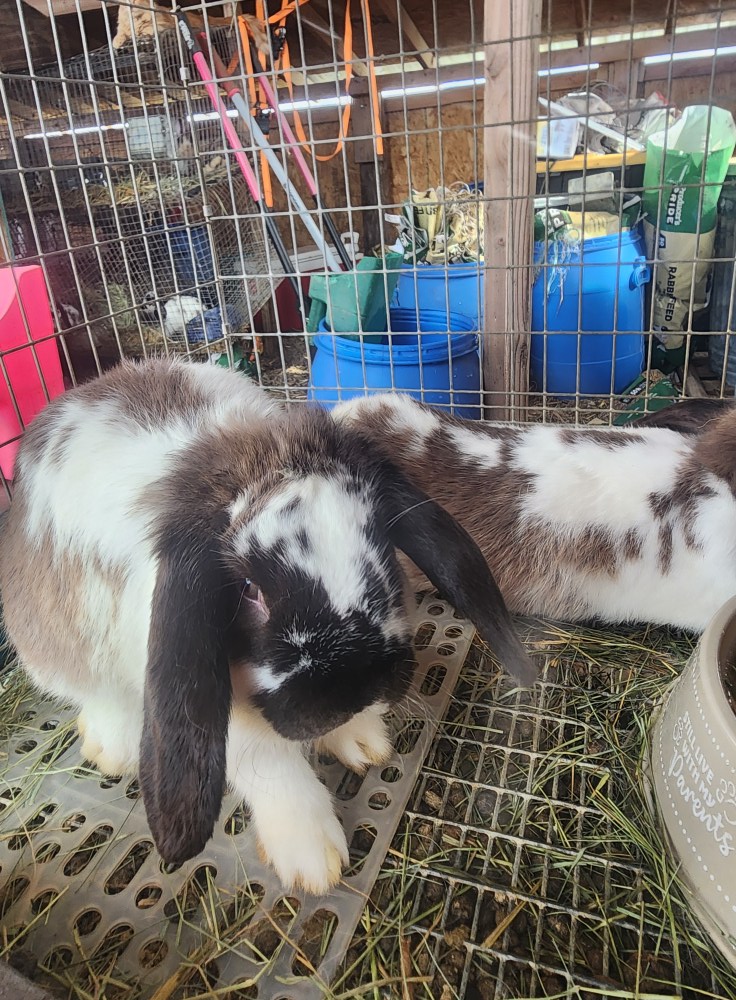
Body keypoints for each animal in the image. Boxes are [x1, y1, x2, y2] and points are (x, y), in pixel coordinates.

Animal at [0, 359, 534, 894]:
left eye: (383, 540)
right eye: (248, 589)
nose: (355, 690)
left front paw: (362, 740)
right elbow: (268, 764)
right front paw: (314, 860)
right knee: (97, 694)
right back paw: (111, 749)